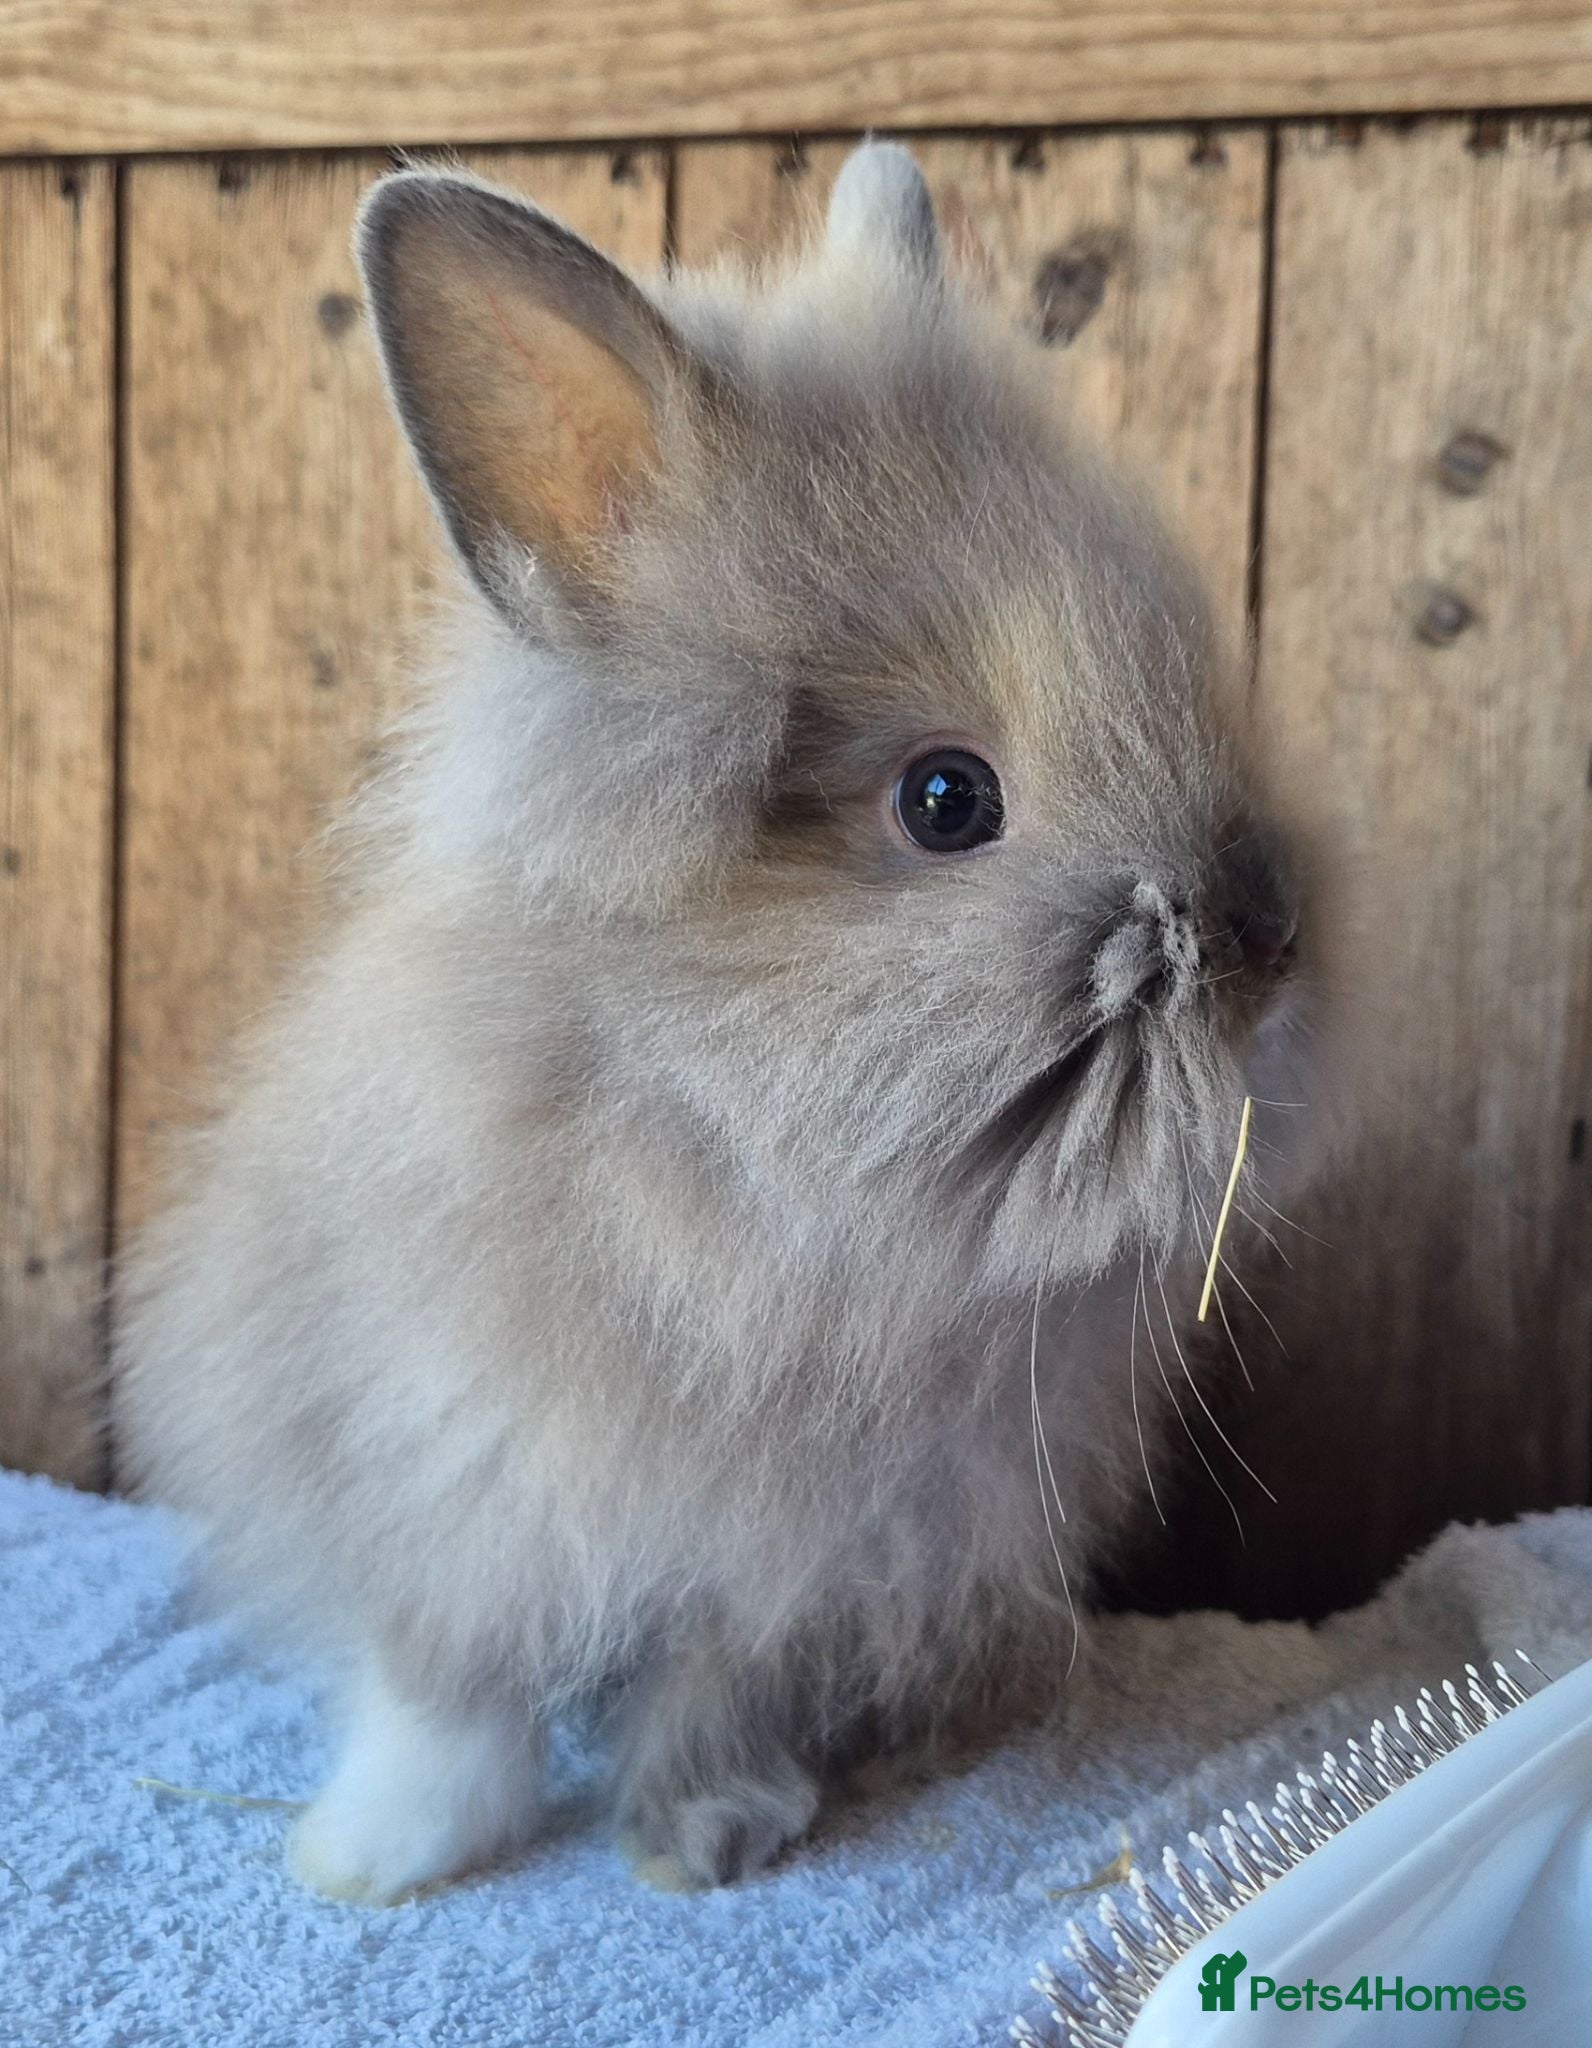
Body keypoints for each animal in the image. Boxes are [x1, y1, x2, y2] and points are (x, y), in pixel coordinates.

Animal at [115, 140, 1326, 1903]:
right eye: (946, 800)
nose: (1270, 948)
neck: (729, 1161)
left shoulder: (796, 1572)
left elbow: (709, 1694)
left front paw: (706, 1842)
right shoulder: (434, 1475)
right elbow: (444, 1694)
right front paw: (375, 1860)